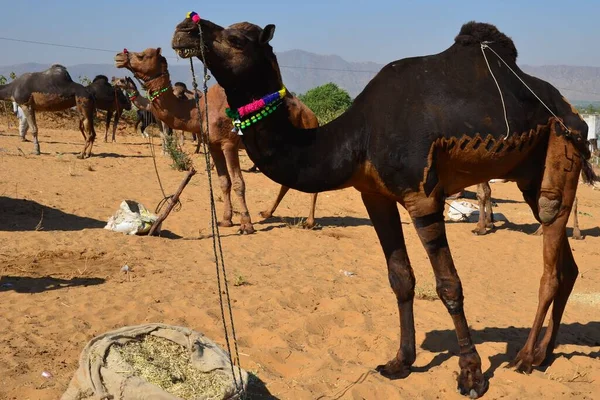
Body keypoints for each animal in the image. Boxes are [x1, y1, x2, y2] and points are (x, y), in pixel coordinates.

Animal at [112, 49, 318, 231]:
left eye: (141, 55)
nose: (119, 57)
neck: (200, 110)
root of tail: (312, 115)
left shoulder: (229, 143)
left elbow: (238, 183)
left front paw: (246, 225)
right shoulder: (213, 145)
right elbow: (224, 182)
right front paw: (226, 220)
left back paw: (309, 222)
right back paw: (267, 212)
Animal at [172, 15, 596, 396]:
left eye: (237, 39)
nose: (185, 28)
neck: (355, 137)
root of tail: (574, 112)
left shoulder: (422, 196)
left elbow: (448, 285)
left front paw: (471, 376)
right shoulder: (374, 195)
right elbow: (400, 278)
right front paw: (400, 362)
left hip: (563, 145)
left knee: (551, 250)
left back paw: (523, 358)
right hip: (531, 173)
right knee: (569, 265)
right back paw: (543, 354)